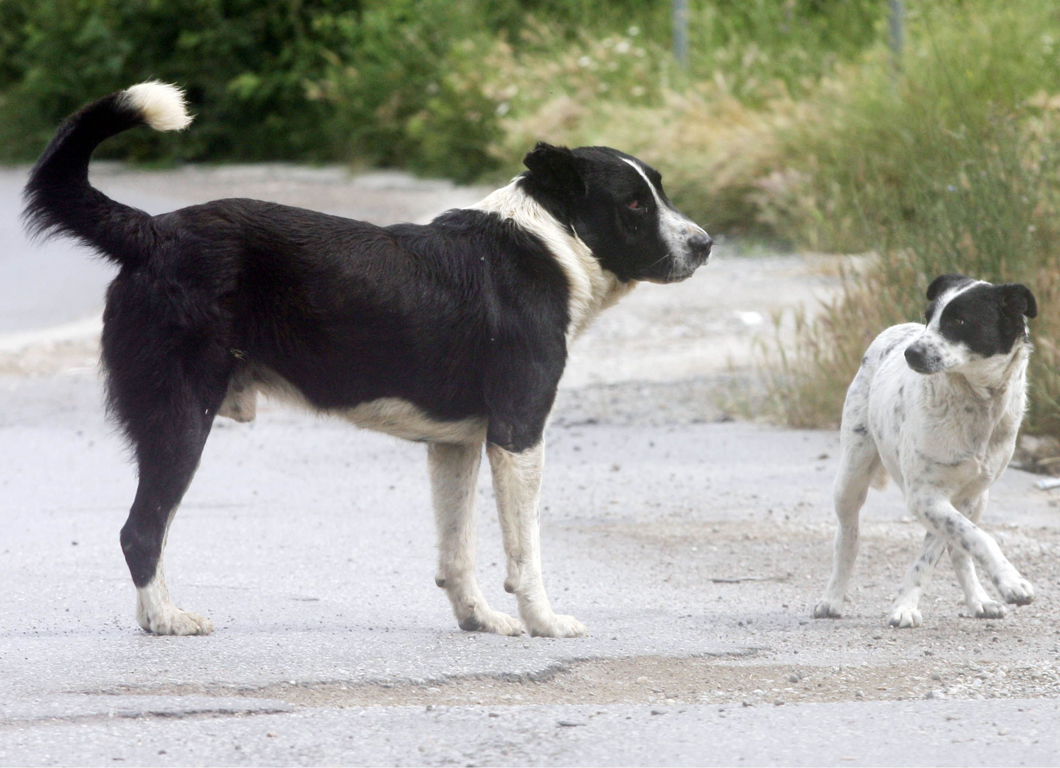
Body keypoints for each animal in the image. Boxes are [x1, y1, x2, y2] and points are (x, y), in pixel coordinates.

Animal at [20, 81, 712, 639]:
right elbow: (525, 553)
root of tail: (152, 232)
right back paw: (165, 619)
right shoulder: (518, 435)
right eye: (632, 204)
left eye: (659, 190)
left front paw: (480, 619)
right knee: (141, 530)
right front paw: (544, 623)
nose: (705, 244)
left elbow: (457, 550)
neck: (548, 241)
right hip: (181, 417)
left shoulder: (456, 444)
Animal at [814, 273, 1038, 627]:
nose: (912, 353)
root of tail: (897, 329)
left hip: (979, 498)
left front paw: (906, 603)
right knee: (848, 539)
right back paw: (832, 598)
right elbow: (979, 538)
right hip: (850, 478)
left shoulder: (958, 497)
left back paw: (979, 600)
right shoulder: (924, 495)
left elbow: (948, 546)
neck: (976, 404)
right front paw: (1012, 582)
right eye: (928, 316)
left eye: (959, 321)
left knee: (959, 549)